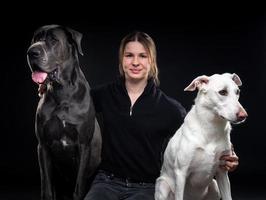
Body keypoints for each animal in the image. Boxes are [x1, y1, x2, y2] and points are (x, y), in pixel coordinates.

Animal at [27, 25, 101, 200]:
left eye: (53, 40)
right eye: (35, 39)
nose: (31, 52)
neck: (61, 91)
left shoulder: (83, 145)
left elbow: (79, 188)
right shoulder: (43, 146)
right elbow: (47, 187)